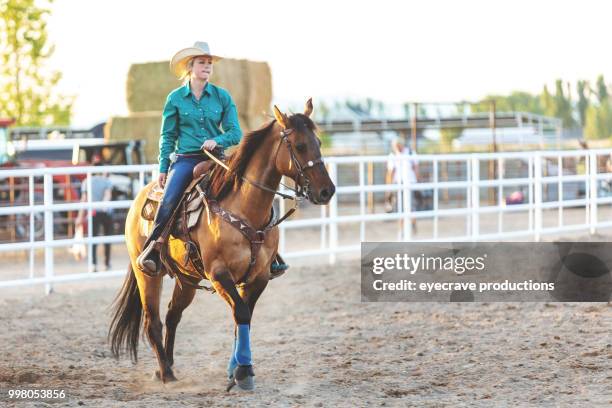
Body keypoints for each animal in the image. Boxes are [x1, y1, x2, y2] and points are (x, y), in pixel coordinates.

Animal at [110, 100, 334, 390]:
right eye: (299, 145)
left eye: (318, 141)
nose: (327, 191)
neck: (245, 210)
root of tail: (140, 198)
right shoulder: (219, 274)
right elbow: (241, 312)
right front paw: (243, 372)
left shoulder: (259, 276)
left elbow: (243, 317)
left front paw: (236, 369)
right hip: (147, 274)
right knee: (153, 322)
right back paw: (166, 374)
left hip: (187, 279)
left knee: (172, 315)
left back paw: (166, 366)